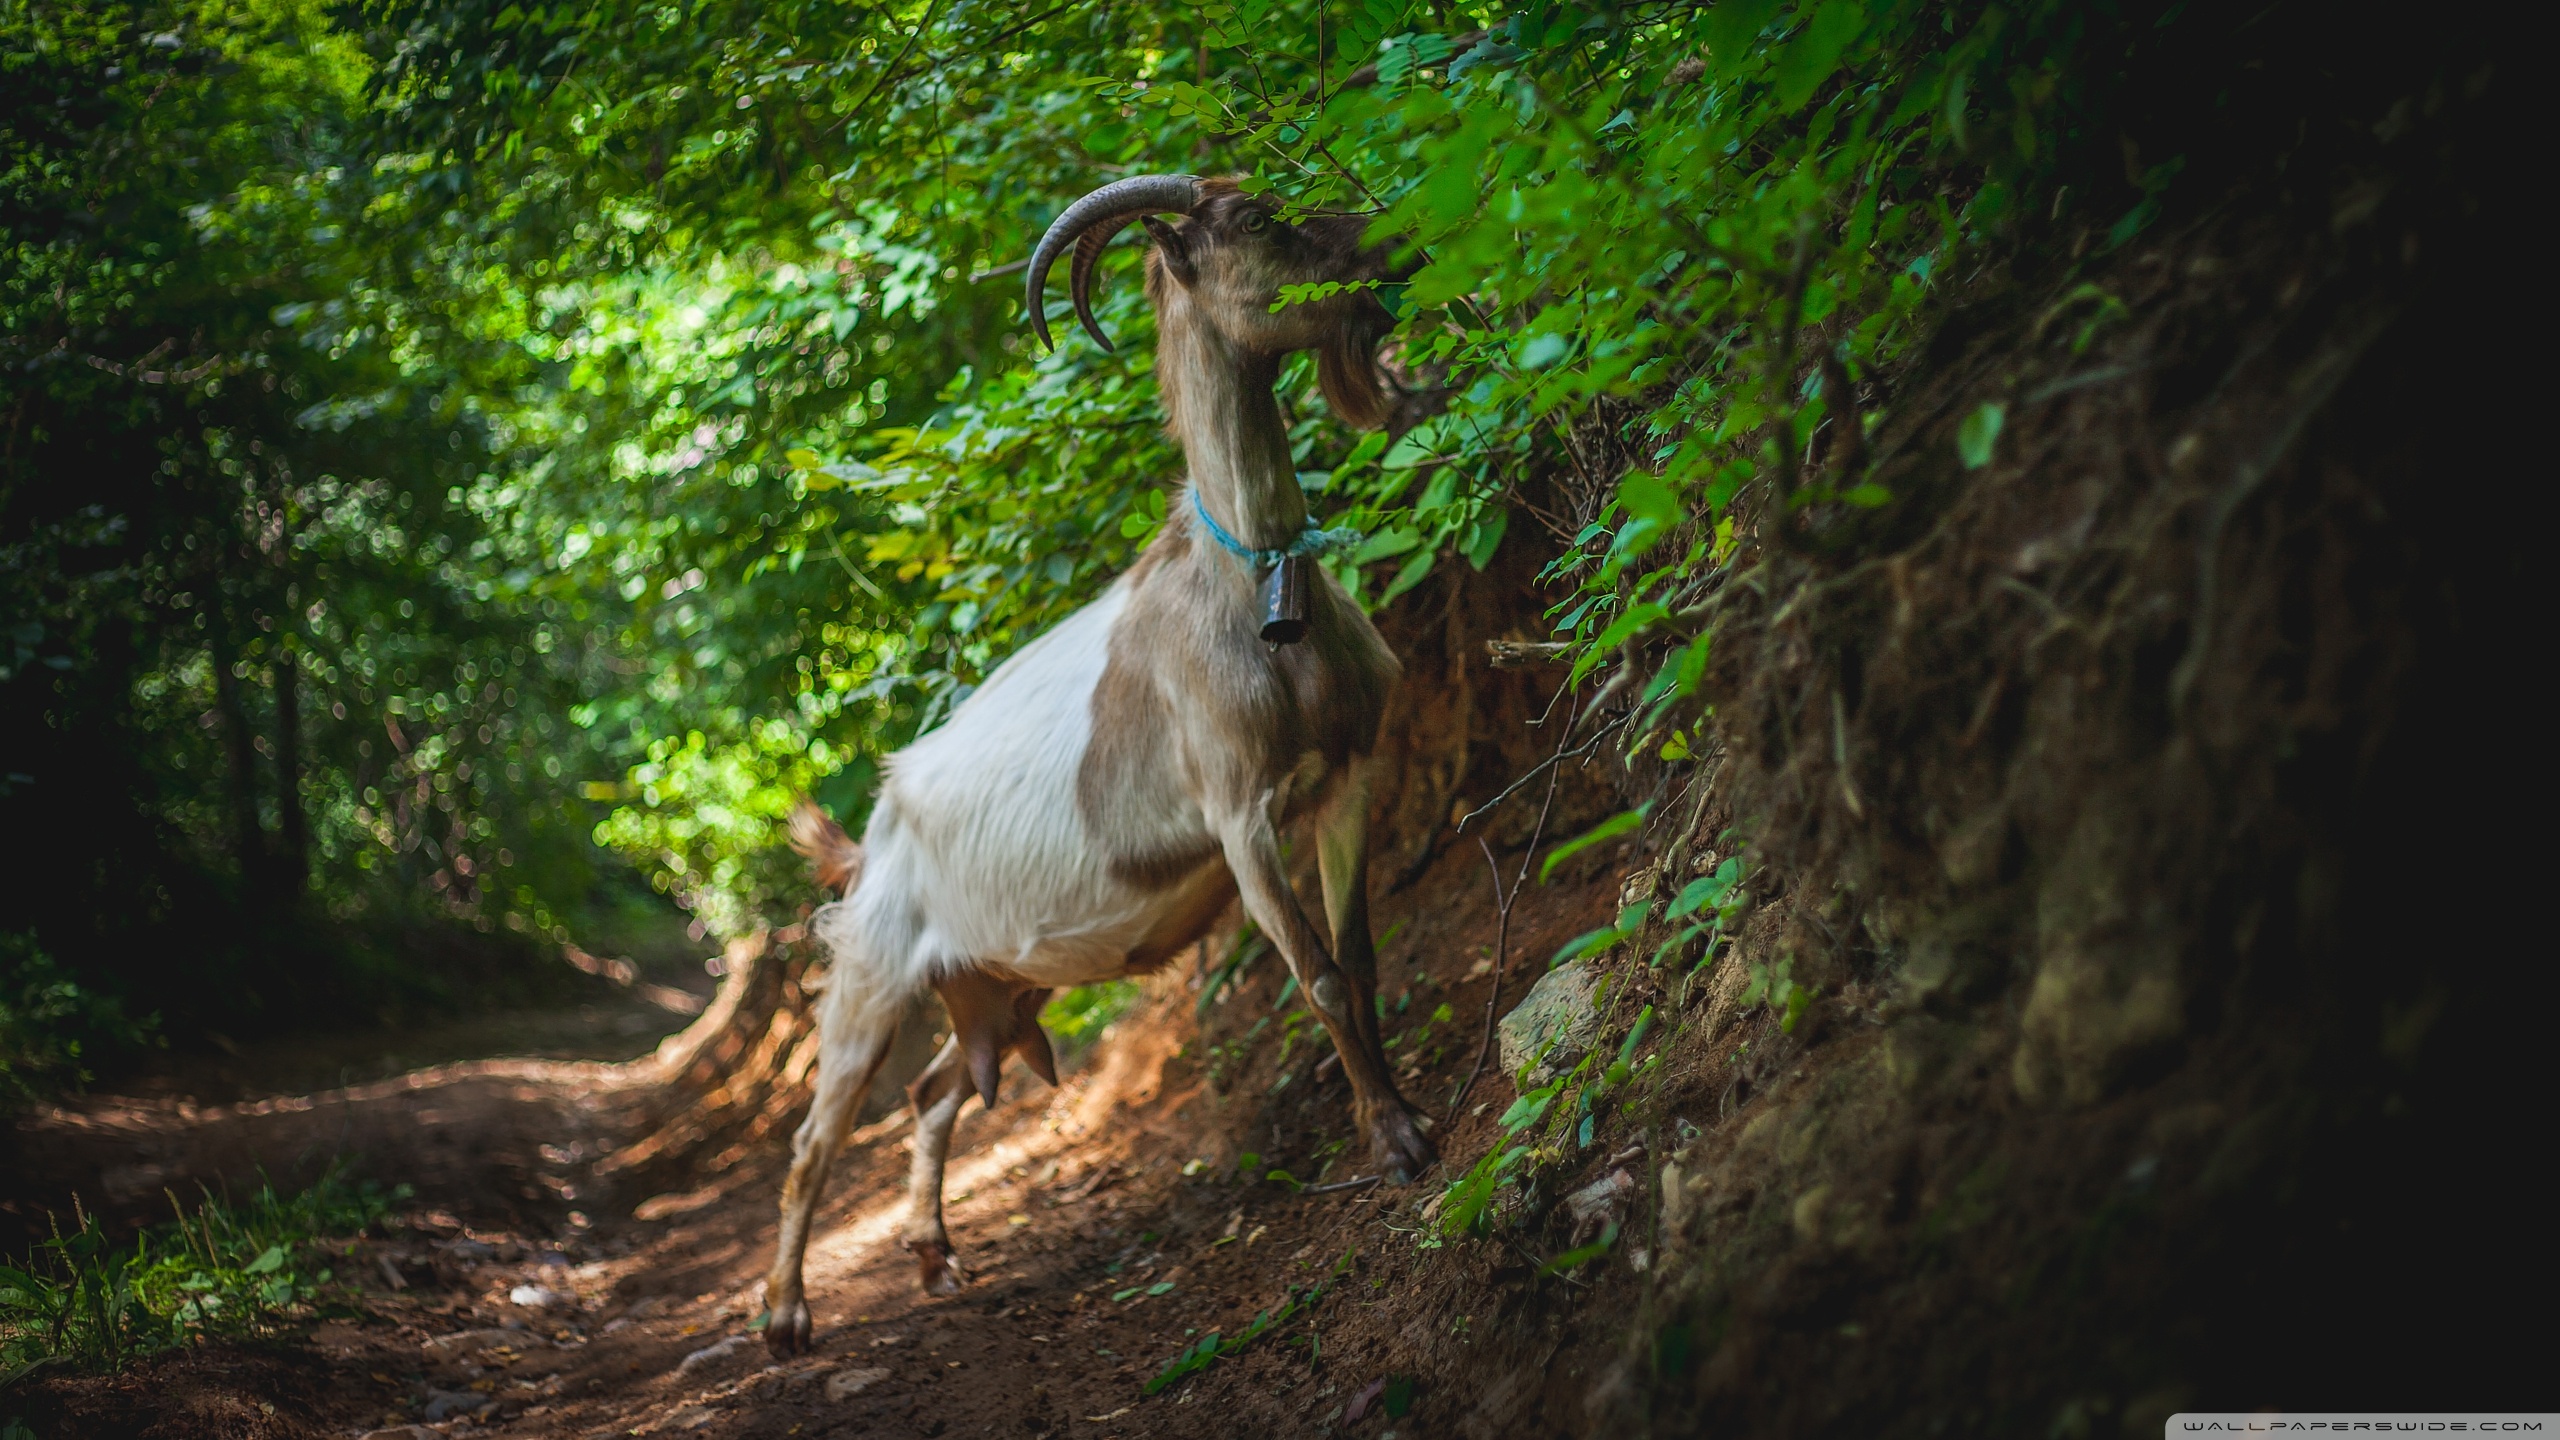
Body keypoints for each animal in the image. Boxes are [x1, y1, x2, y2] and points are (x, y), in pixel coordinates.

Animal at [761, 175, 1433, 1354]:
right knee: (814, 1137)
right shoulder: (1242, 819)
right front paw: (1392, 1145)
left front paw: (1398, 1114)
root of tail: (869, 836)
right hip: (872, 976)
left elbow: (1356, 961)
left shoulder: (1347, 778)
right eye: (1254, 221)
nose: (1393, 241)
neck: (1254, 587)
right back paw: (787, 1316)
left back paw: (933, 1253)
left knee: (933, 1093)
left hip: (1001, 986)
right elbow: (1315, 978)